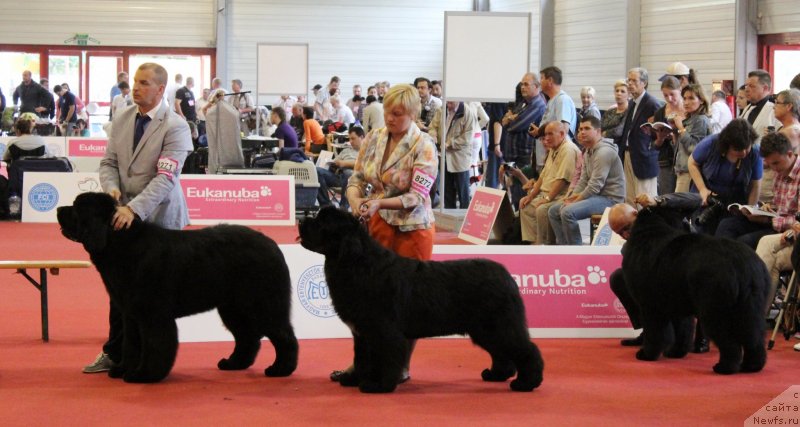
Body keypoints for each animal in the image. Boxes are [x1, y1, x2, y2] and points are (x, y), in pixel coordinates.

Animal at [57, 193, 298, 384]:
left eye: (76, 208)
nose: (59, 209)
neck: (120, 244)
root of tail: (272, 245)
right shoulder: (131, 314)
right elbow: (131, 344)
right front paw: (123, 369)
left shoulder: (152, 314)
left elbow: (155, 345)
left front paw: (144, 375)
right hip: (233, 308)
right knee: (247, 337)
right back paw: (233, 363)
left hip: (264, 305)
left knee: (284, 335)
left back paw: (280, 369)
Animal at [296, 207, 548, 394]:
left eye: (322, 222)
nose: (301, 220)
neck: (357, 263)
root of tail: (506, 275)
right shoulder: (363, 332)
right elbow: (363, 357)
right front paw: (355, 379)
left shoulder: (384, 330)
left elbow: (385, 357)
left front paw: (379, 385)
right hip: (485, 329)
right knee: (501, 352)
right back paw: (496, 375)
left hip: (499, 325)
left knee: (526, 349)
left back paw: (526, 383)